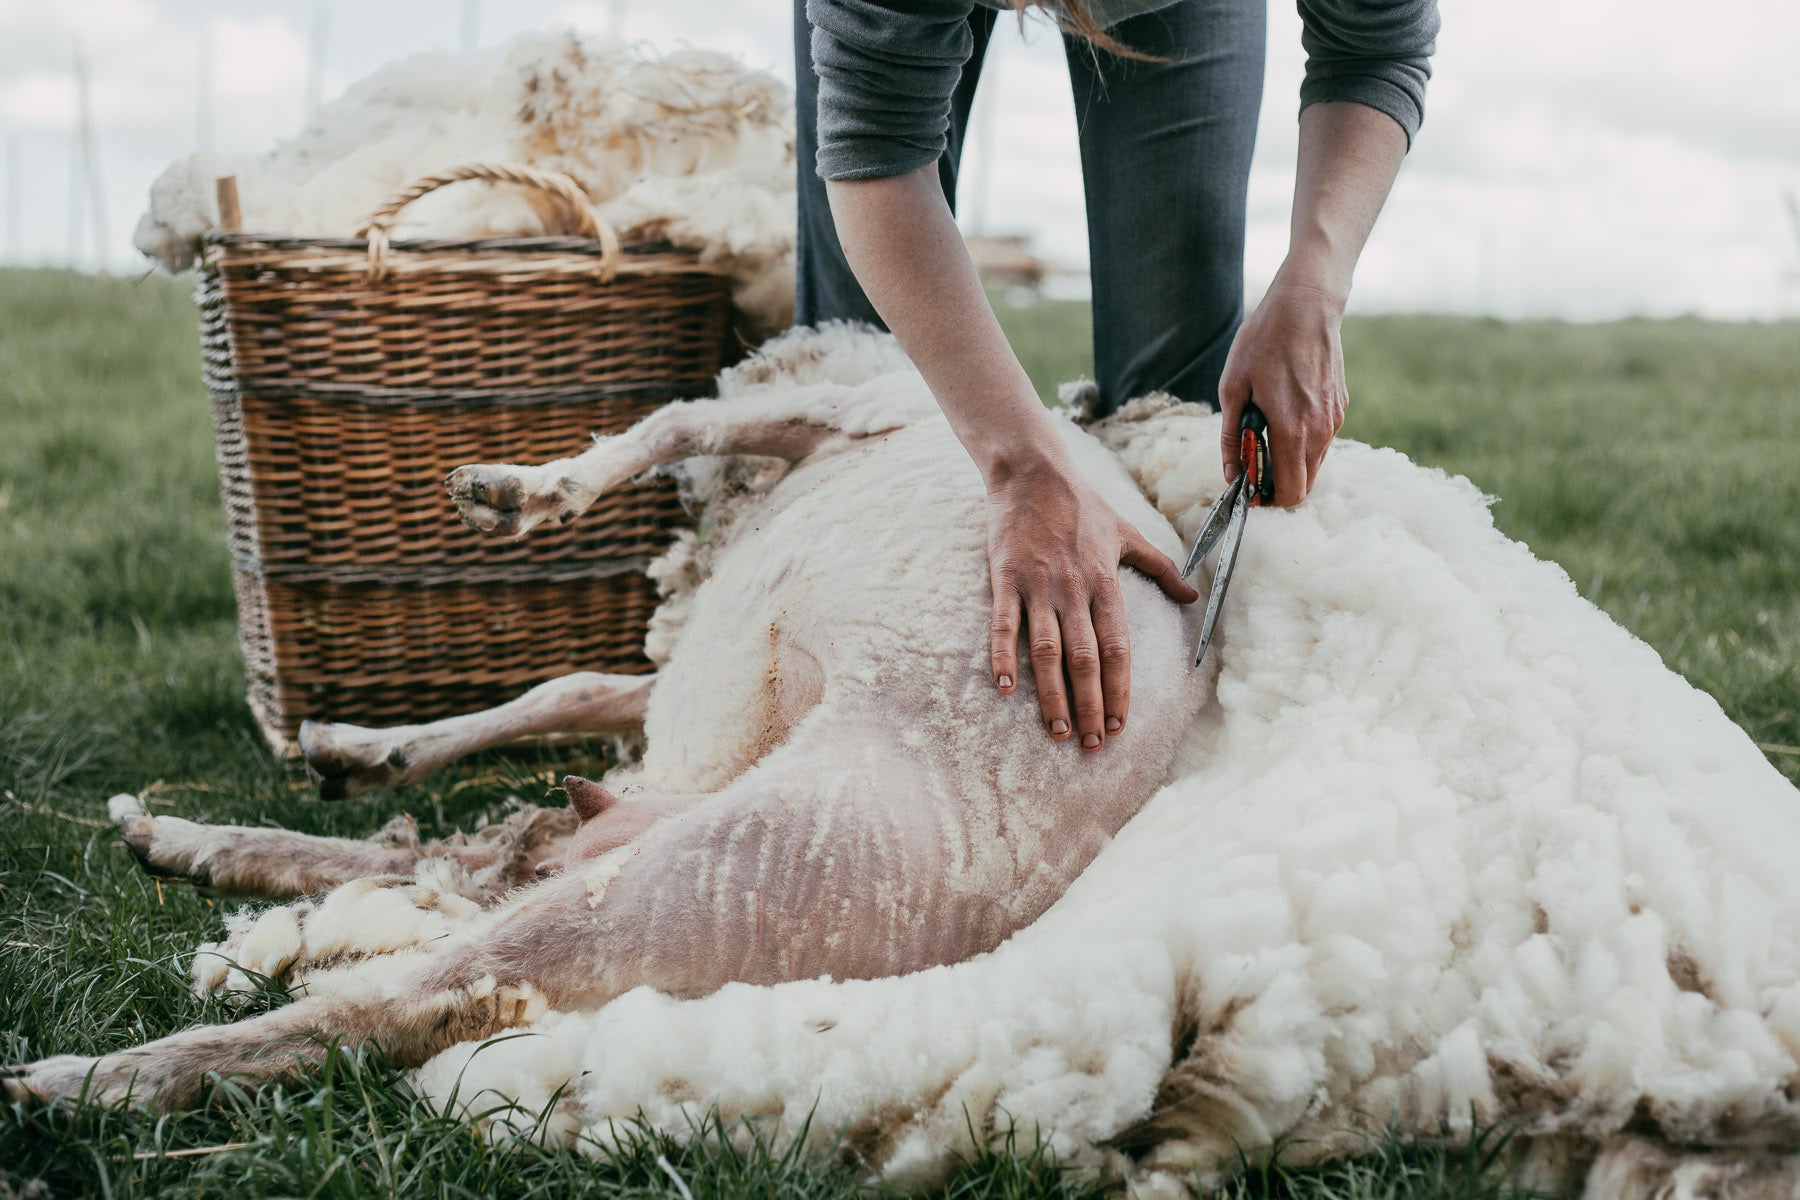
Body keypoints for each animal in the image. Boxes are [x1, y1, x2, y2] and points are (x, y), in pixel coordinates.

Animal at [7, 325, 1792, 1200]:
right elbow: (575, 671)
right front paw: (376, 730)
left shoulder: (827, 425)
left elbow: (666, 434)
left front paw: (515, 491)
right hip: (681, 828)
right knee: (465, 867)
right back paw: (210, 833)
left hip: (735, 868)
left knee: (411, 988)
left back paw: (91, 1081)